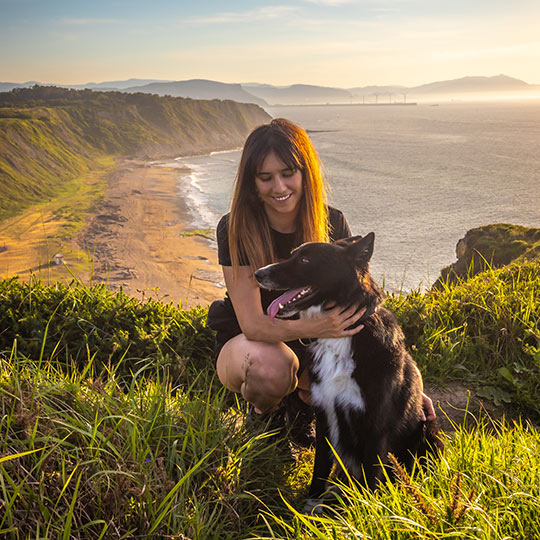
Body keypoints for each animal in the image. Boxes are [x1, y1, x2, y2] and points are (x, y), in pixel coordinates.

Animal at [255, 234, 440, 508]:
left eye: (305, 259)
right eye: (293, 254)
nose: (258, 273)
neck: (343, 337)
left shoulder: (376, 427)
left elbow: (371, 480)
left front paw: (369, 512)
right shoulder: (325, 416)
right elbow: (320, 466)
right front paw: (311, 504)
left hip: (428, 429)